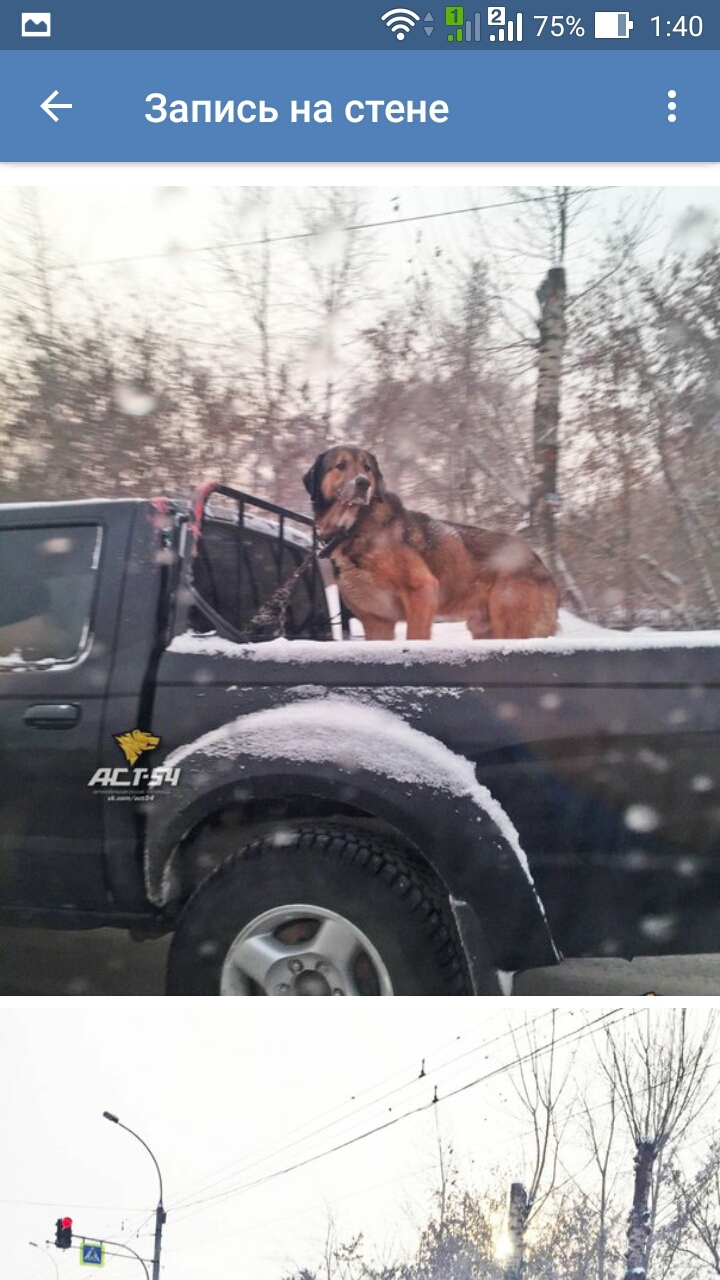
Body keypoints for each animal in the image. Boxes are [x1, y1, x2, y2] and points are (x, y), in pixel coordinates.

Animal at [299, 448, 558, 640]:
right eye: (340, 465)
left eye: (367, 468)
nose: (363, 483)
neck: (353, 527)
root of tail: (538, 561)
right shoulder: (377, 622)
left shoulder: (422, 592)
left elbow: (415, 637)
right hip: (485, 630)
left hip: (510, 624)